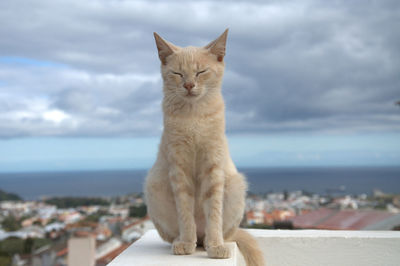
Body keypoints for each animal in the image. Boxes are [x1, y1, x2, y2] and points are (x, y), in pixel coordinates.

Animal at [145, 29, 266, 266]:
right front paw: (186, 242)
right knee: (185, 235)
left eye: (201, 72)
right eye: (178, 73)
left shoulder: (213, 165)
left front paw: (216, 246)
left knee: (217, 234)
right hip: (154, 185)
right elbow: (185, 211)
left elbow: (214, 213)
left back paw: (212, 241)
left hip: (236, 186)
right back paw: (184, 240)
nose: (189, 85)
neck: (194, 115)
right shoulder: (179, 168)